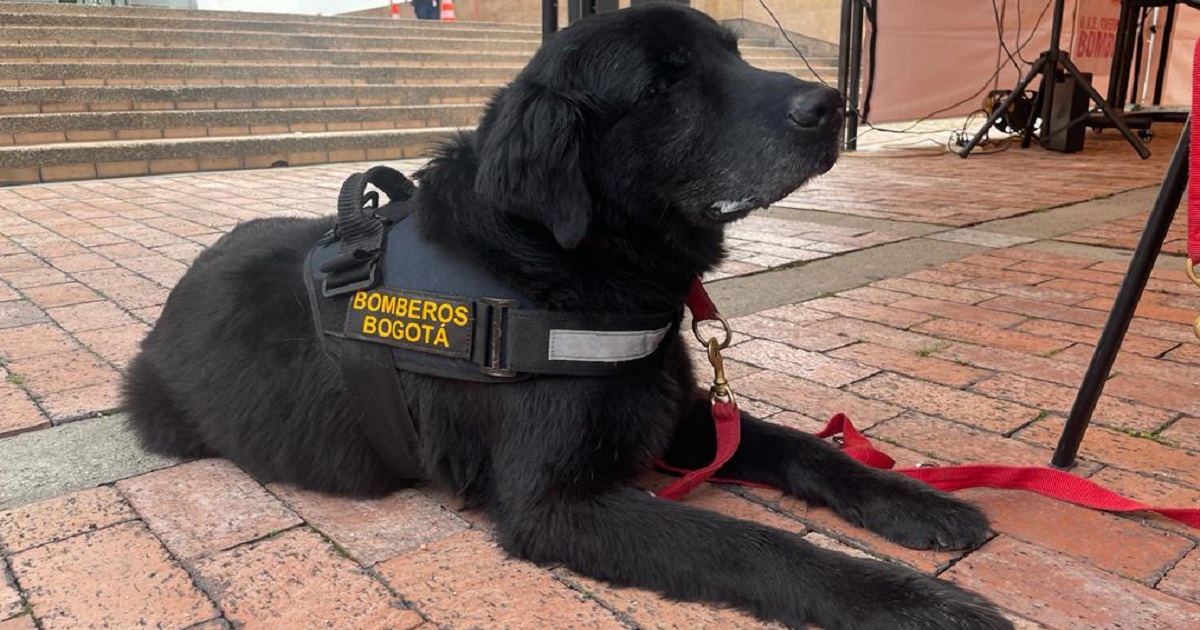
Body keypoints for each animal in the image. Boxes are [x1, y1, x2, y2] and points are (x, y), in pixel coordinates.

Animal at [126, 6, 1012, 628]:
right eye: (663, 85)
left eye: (732, 52)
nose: (830, 104)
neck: (566, 266)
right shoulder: (554, 506)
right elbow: (752, 541)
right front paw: (909, 602)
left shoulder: (670, 411)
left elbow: (804, 447)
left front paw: (916, 502)